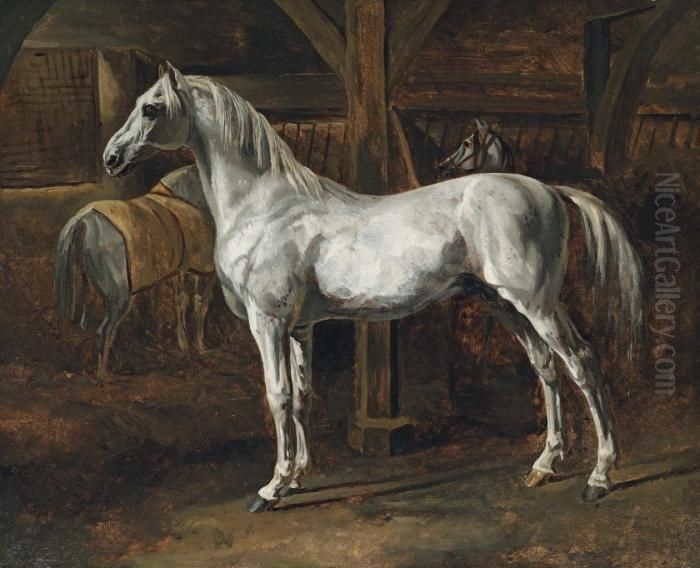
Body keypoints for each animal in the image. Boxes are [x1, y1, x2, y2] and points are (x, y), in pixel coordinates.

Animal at [55, 165, 217, 381]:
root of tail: (82, 222)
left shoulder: (181, 270)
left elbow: (182, 302)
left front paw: (186, 345)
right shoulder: (201, 270)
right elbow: (198, 304)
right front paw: (198, 347)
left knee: (94, 326)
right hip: (120, 296)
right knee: (105, 330)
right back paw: (103, 376)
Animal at [103, 62, 643, 512]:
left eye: (151, 107)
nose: (110, 157)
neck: (267, 207)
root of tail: (547, 189)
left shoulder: (269, 322)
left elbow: (277, 396)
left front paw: (273, 488)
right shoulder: (300, 328)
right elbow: (303, 395)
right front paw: (299, 476)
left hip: (537, 303)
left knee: (582, 363)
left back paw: (599, 477)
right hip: (504, 303)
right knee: (546, 367)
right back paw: (544, 466)